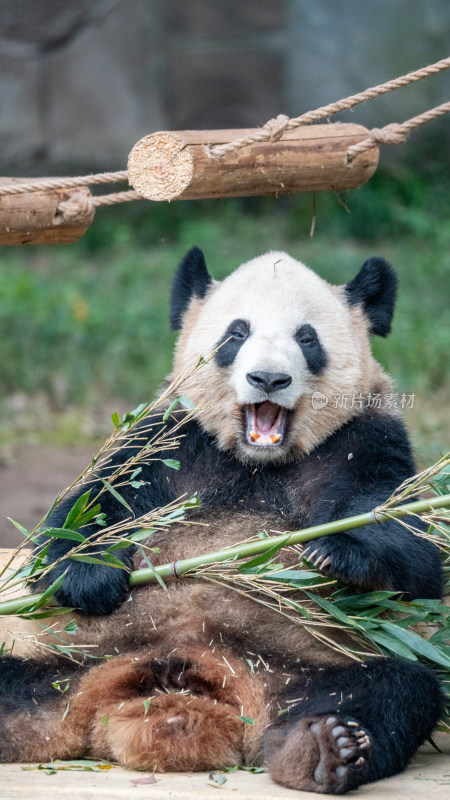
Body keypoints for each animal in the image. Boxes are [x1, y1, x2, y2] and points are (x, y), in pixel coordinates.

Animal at [0, 248, 442, 792]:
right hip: (62, 664)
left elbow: (412, 549)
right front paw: (91, 577)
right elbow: (83, 515)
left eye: (307, 338)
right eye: (236, 334)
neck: (255, 463)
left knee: (395, 687)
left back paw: (324, 749)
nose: (268, 379)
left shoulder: (364, 439)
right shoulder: (166, 438)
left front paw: (334, 552)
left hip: (298, 668)